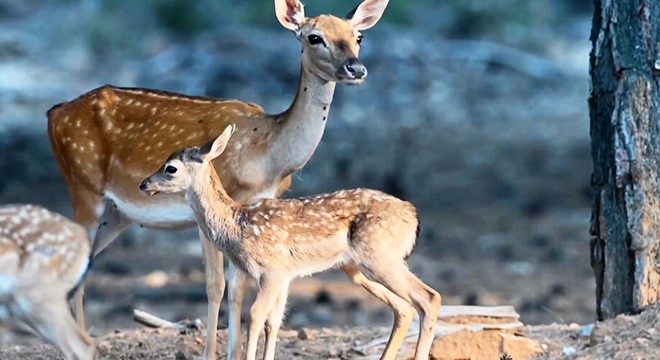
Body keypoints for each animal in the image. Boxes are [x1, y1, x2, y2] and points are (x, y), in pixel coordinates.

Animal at [139, 126, 440, 360]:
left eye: (171, 168)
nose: (144, 184)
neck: (237, 225)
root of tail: (413, 215)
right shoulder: (286, 276)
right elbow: (274, 322)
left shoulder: (273, 271)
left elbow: (255, 315)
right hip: (357, 268)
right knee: (404, 308)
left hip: (380, 257)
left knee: (429, 298)